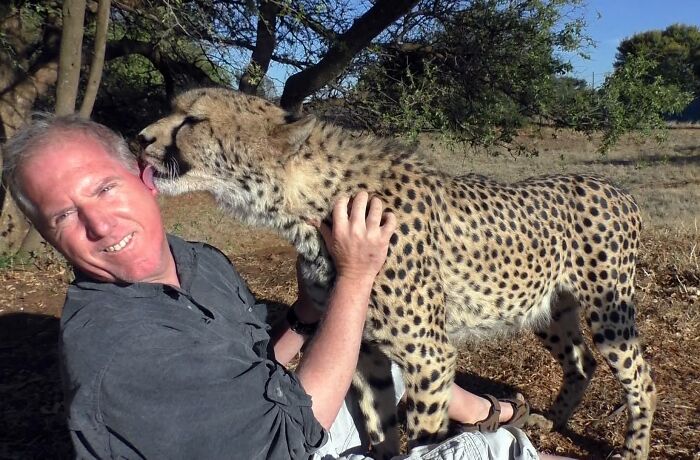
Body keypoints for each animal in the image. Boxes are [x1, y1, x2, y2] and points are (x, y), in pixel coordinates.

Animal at [137, 87, 656, 459]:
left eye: (193, 120)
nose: (140, 137)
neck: (310, 205)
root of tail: (619, 189)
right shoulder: (363, 349)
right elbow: (379, 424)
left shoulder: (431, 355)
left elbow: (424, 431)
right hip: (545, 307)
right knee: (581, 361)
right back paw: (550, 421)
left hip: (609, 310)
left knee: (642, 381)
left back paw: (631, 451)